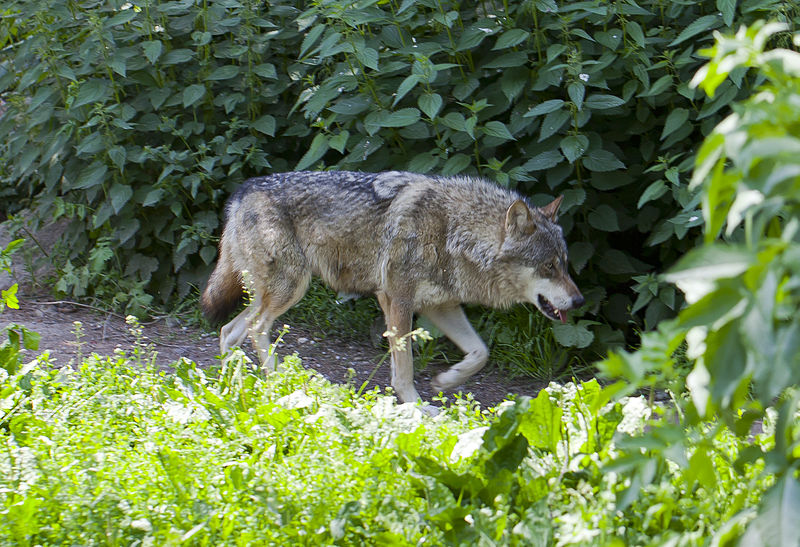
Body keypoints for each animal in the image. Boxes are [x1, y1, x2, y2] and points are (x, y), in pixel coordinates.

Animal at [203, 173, 584, 404]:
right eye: (549, 266)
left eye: (565, 264)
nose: (579, 300)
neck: (455, 232)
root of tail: (243, 191)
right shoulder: (396, 300)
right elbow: (404, 369)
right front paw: (417, 408)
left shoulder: (441, 306)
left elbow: (481, 352)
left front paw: (447, 381)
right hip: (291, 289)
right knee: (253, 328)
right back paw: (277, 383)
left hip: (276, 293)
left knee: (228, 331)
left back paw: (230, 387)